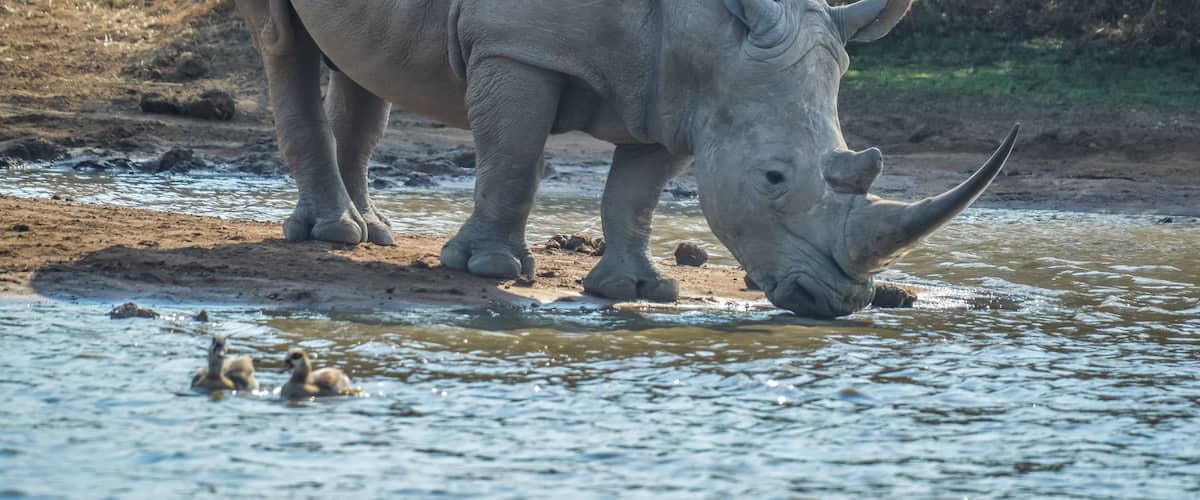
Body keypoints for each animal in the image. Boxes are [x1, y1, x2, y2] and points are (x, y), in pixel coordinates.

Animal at [235, 0, 1018, 318]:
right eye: (773, 178)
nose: (841, 303)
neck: (708, 30)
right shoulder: (518, 47)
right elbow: (514, 157)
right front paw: (490, 270)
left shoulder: (675, 92)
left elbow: (635, 191)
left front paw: (639, 291)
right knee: (285, 44)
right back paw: (335, 234)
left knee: (359, 60)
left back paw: (369, 234)